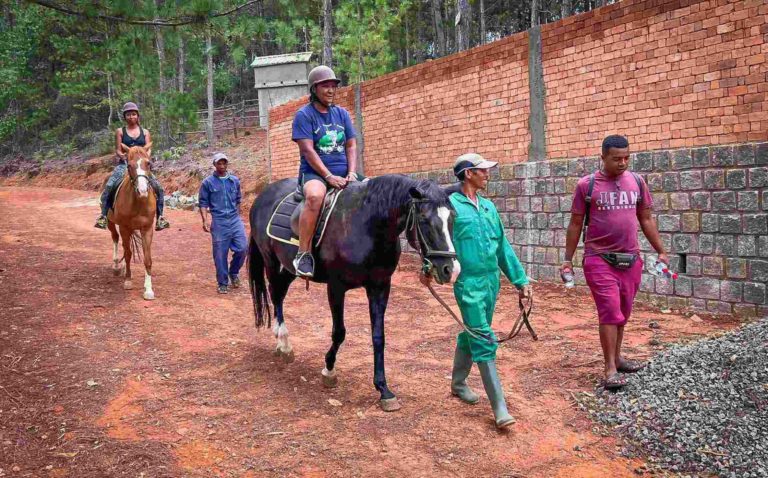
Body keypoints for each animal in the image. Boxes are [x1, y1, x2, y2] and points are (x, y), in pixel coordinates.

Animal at [107, 146, 157, 300]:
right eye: (129, 165)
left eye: (148, 163)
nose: (142, 191)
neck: (138, 202)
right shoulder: (124, 227)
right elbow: (128, 254)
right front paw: (128, 281)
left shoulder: (147, 229)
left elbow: (147, 258)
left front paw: (148, 289)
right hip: (111, 222)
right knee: (115, 238)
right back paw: (117, 266)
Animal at [249, 176, 460, 410]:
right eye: (424, 219)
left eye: (453, 218)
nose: (450, 270)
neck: (365, 225)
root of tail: (264, 195)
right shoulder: (336, 287)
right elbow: (339, 332)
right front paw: (329, 370)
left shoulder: (380, 287)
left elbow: (378, 337)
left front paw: (383, 390)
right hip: (270, 260)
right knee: (275, 294)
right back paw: (284, 343)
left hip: (288, 268)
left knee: (279, 292)